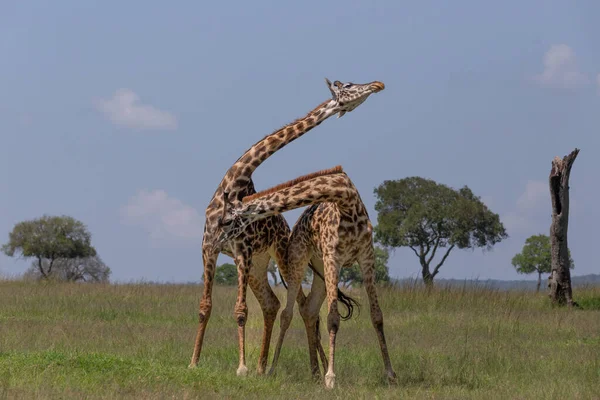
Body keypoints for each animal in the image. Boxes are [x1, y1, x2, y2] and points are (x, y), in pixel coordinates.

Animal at [191, 76, 384, 376]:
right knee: (273, 304)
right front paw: (194, 362)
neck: (234, 181)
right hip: (259, 265)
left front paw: (241, 368)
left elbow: (240, 310)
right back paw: (266, 367)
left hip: (278, 259)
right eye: (349, 86)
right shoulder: (208, 248)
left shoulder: (241, 251)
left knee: (298, 306)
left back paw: (308, 368)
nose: (377, 84)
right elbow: (205, 306)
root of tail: (287, 227)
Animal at [220, 166, 398, 388]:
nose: (221, 238)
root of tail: (295, 227)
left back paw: (314, 372)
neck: (346, 199)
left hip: (320, 268)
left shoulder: (367, 257)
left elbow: (377, 316)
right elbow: (333, 318)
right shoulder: (333, 258)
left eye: (227, 221)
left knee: (309, 309)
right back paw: (272, 370)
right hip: (299, 260)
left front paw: (390, 374)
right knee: (287, 314)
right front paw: (331, 377)